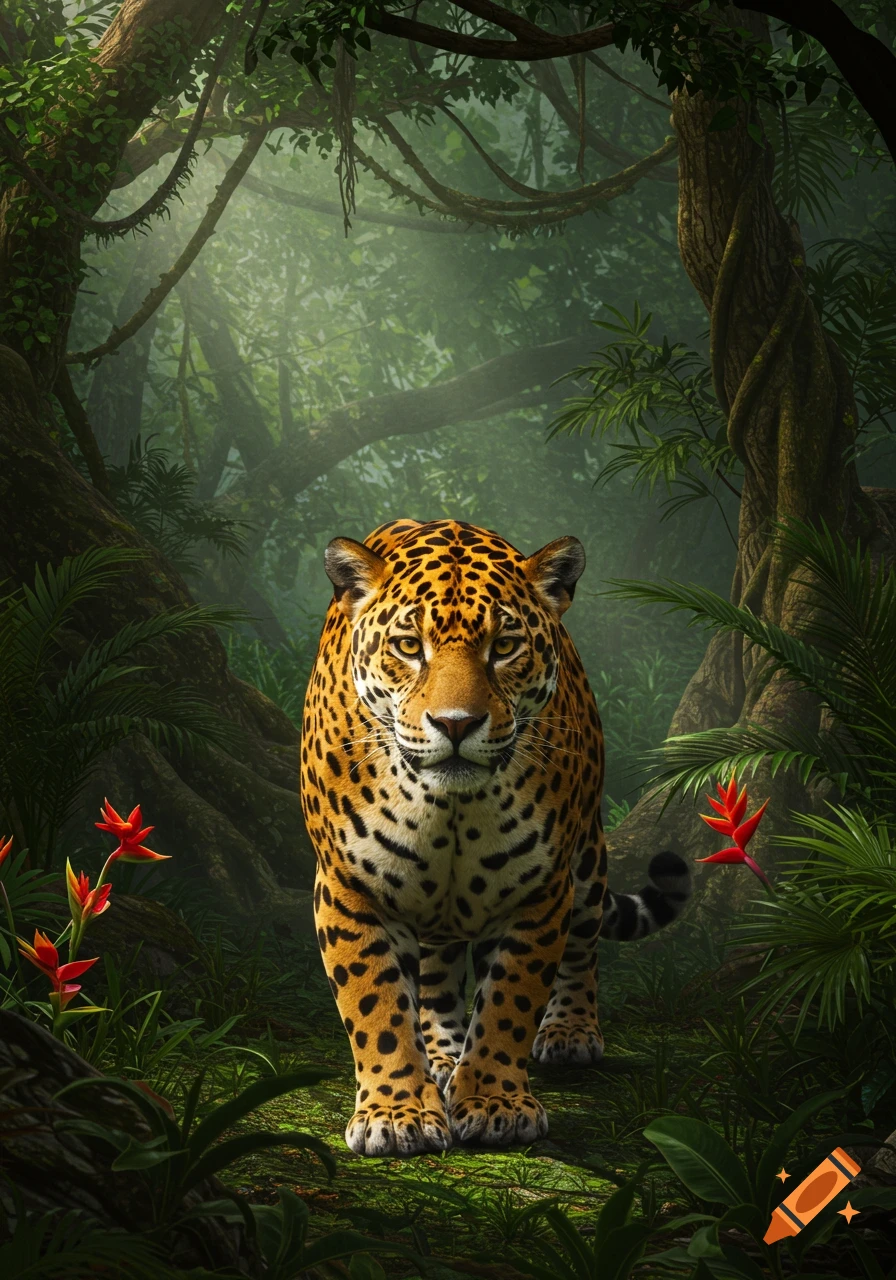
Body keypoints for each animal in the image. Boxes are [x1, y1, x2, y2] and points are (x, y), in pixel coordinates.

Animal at [300, 518, 692, 1157]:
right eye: (408, 647)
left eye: (504, 647)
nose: (455, 724)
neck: (448, 806)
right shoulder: (349, 886)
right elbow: (376, 1004)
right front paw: (397, 1113)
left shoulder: (539, 892)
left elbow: (511, 998)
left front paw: (494, 1104)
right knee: (436, 971)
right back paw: (441, 1054)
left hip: (586, 864)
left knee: (582, 946)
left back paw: (569, 1031)